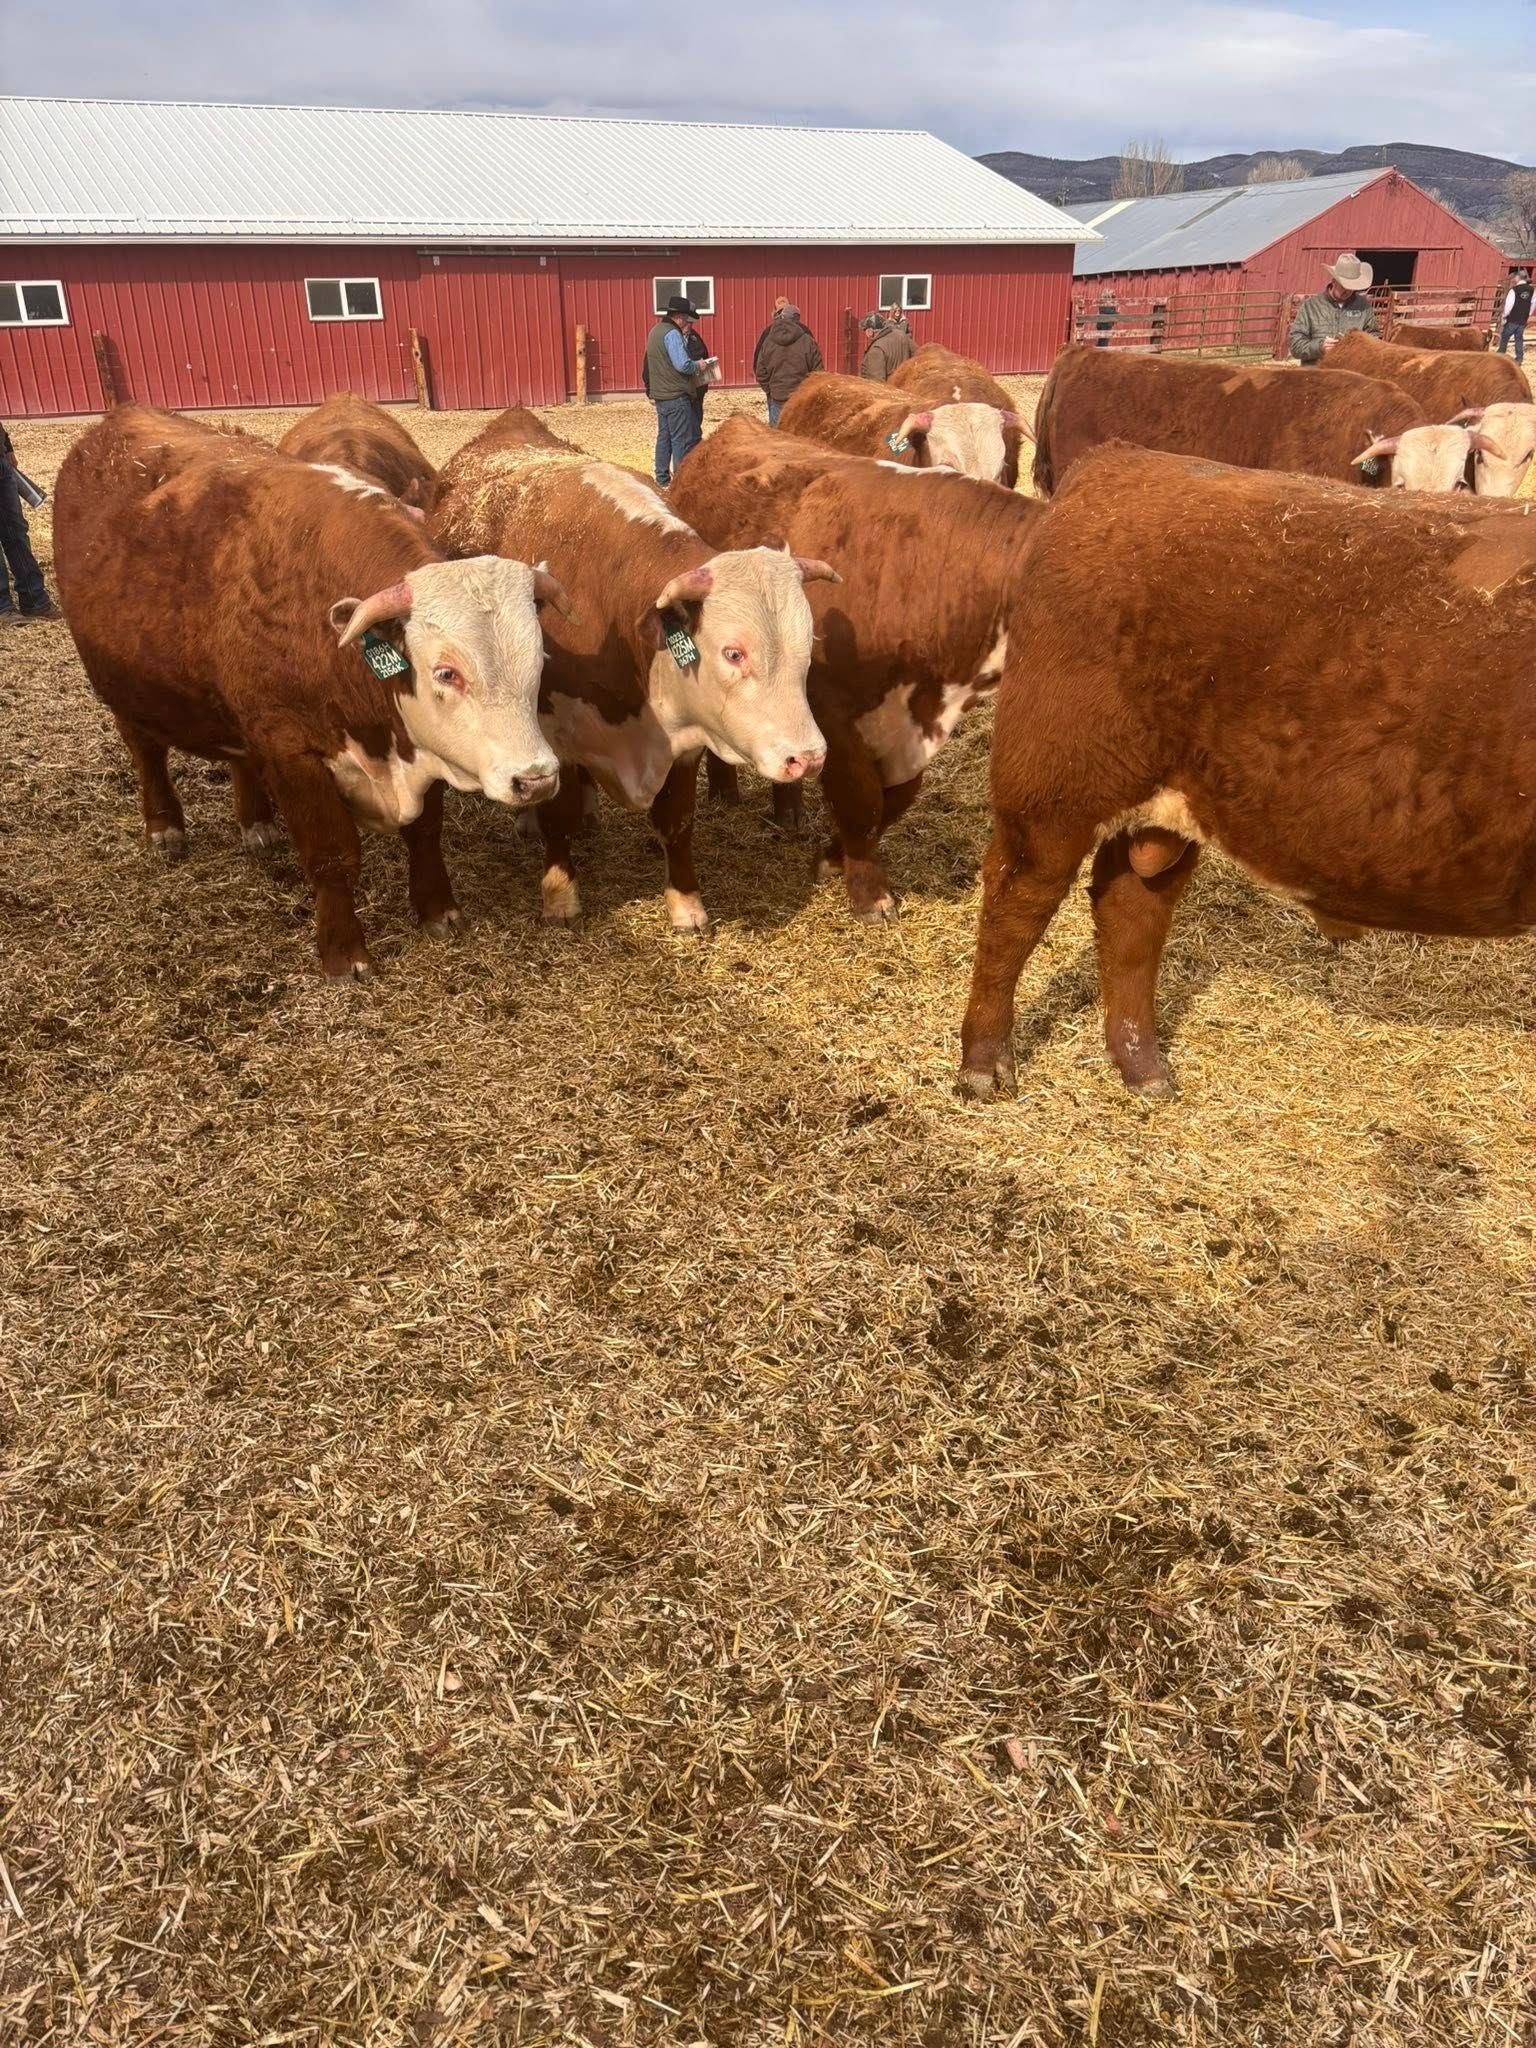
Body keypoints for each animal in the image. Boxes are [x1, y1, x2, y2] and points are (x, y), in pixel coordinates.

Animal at [52, 406, 563, 977]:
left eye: (539, 659)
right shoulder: (291, 751)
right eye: (446, 672)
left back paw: (256, 823)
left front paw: (438, 909)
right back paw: (165, 826)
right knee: (146, 752)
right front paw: (344, 953)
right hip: (122, 686)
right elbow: (331, 854)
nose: (536, 779)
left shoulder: (412, 740)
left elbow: (425, 832)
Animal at [429, 407, 831, 933]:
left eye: (807, 645)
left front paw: (686, 902)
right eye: (733, 653)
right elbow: (557, 817)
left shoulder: (683, 740)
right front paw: (560, 895)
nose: (808, 757)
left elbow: (676, 821)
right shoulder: (553, 732)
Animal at [670, 415, 1044, 920]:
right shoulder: (834, 714)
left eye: (1006, 468)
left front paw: (833, 856)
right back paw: (726, 789)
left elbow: (894, 800)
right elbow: (861, 800)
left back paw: (788, 809)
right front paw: (869, 891)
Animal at [958, 444, 1536, 1104]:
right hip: (1053, 787)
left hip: (1158, 806)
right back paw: (984, 1064)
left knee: (1130, 910)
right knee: (1016, 903)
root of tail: (1118, 462)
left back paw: (1142, 1066)